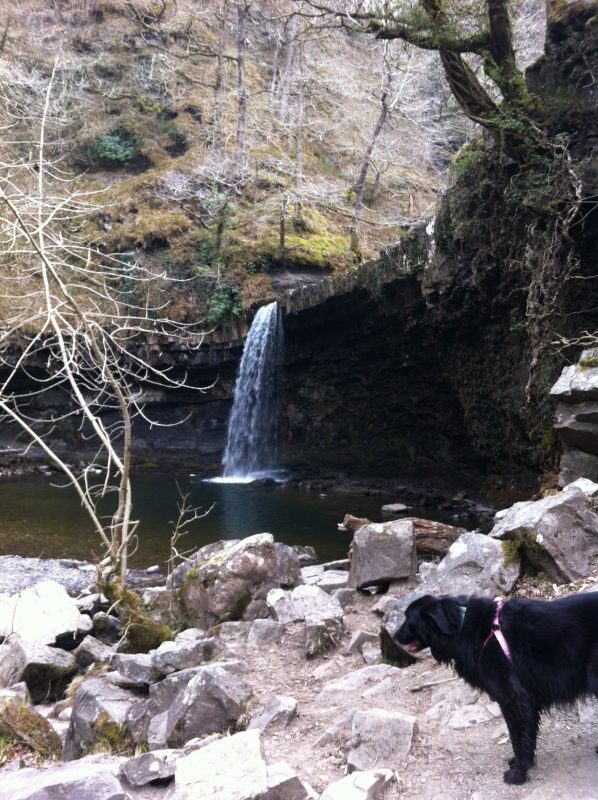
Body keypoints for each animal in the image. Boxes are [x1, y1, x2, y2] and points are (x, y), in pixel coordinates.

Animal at [396, 592, 598, 784]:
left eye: (407, 619)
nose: (394, 636)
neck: (463, 627)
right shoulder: (527, 701)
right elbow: (527, 735)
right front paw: (523, 763)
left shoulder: (513, 699)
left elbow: (517, 737)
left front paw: (518, 774)